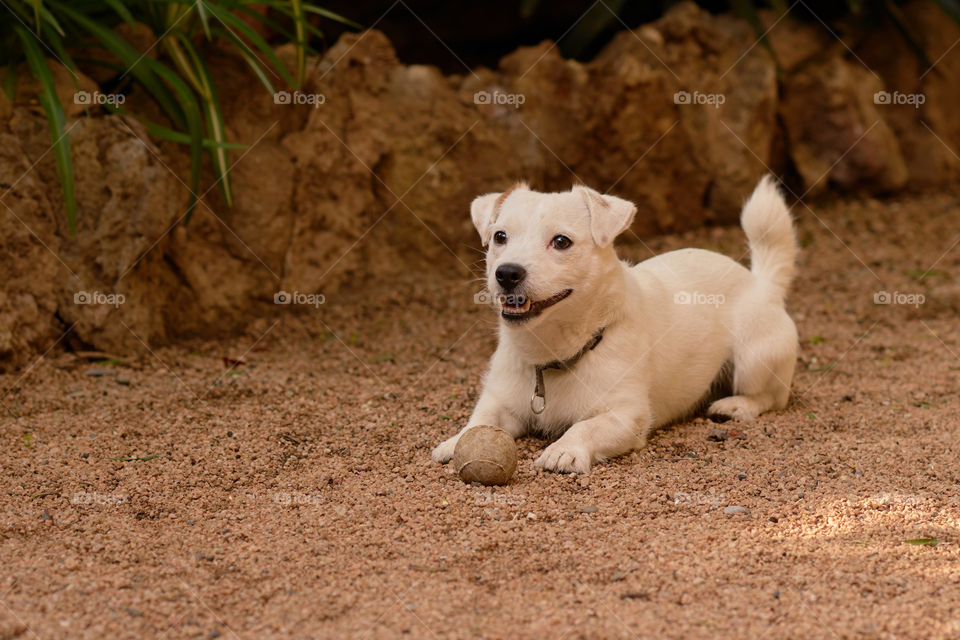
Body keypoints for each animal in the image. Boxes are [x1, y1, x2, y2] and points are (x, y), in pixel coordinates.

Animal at [432, 178, 800, 472]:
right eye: (499, 236)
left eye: (561, 241)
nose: (507, 273)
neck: (551, 353)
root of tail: (761, 281)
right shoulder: (500, 402)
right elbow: (479, 421)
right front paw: (456, 441)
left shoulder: (627, 416)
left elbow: (584, 428)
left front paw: (564, 449)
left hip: (754, 362)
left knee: (772, 397)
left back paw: (736, 405)